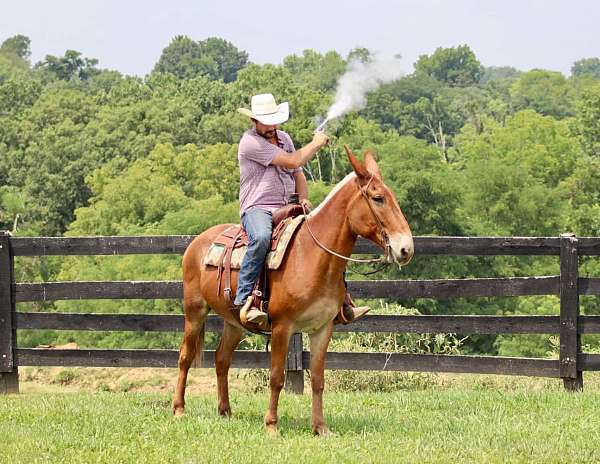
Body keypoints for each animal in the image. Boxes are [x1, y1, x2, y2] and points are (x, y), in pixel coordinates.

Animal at [172, 145, 412, 436]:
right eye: (378, 198)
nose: (406, 249)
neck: (312, 255)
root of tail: (198, 241)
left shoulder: (322, 328)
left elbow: (318, 379)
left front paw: (320, 428)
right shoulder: (282, 327)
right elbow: (277, 377)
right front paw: (272, 425)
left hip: (234, 322)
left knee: (222, 360)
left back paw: (225, 411)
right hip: (194, 311)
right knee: (185, 357)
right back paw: (179, 409)